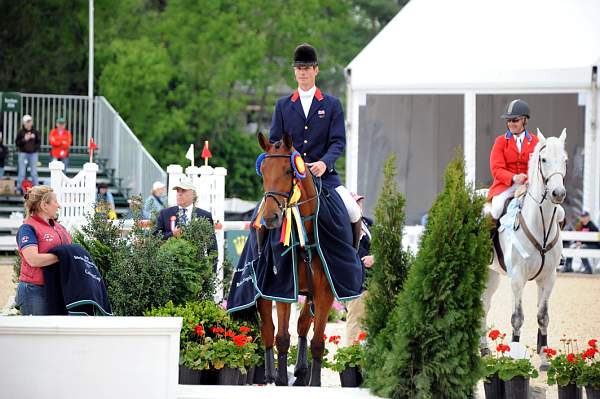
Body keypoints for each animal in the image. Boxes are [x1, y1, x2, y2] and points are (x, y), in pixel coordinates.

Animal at [256, 132, 336, 388]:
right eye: (263, 170)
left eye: (287, 171)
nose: (271, 218)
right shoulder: (282, 287)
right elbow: (281, 336)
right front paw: (281, 380)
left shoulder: (325, 292)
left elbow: (317, 341)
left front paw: (314, 382)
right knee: (268, 329)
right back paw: (270, 375)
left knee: (302, 325)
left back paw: (301, 371)